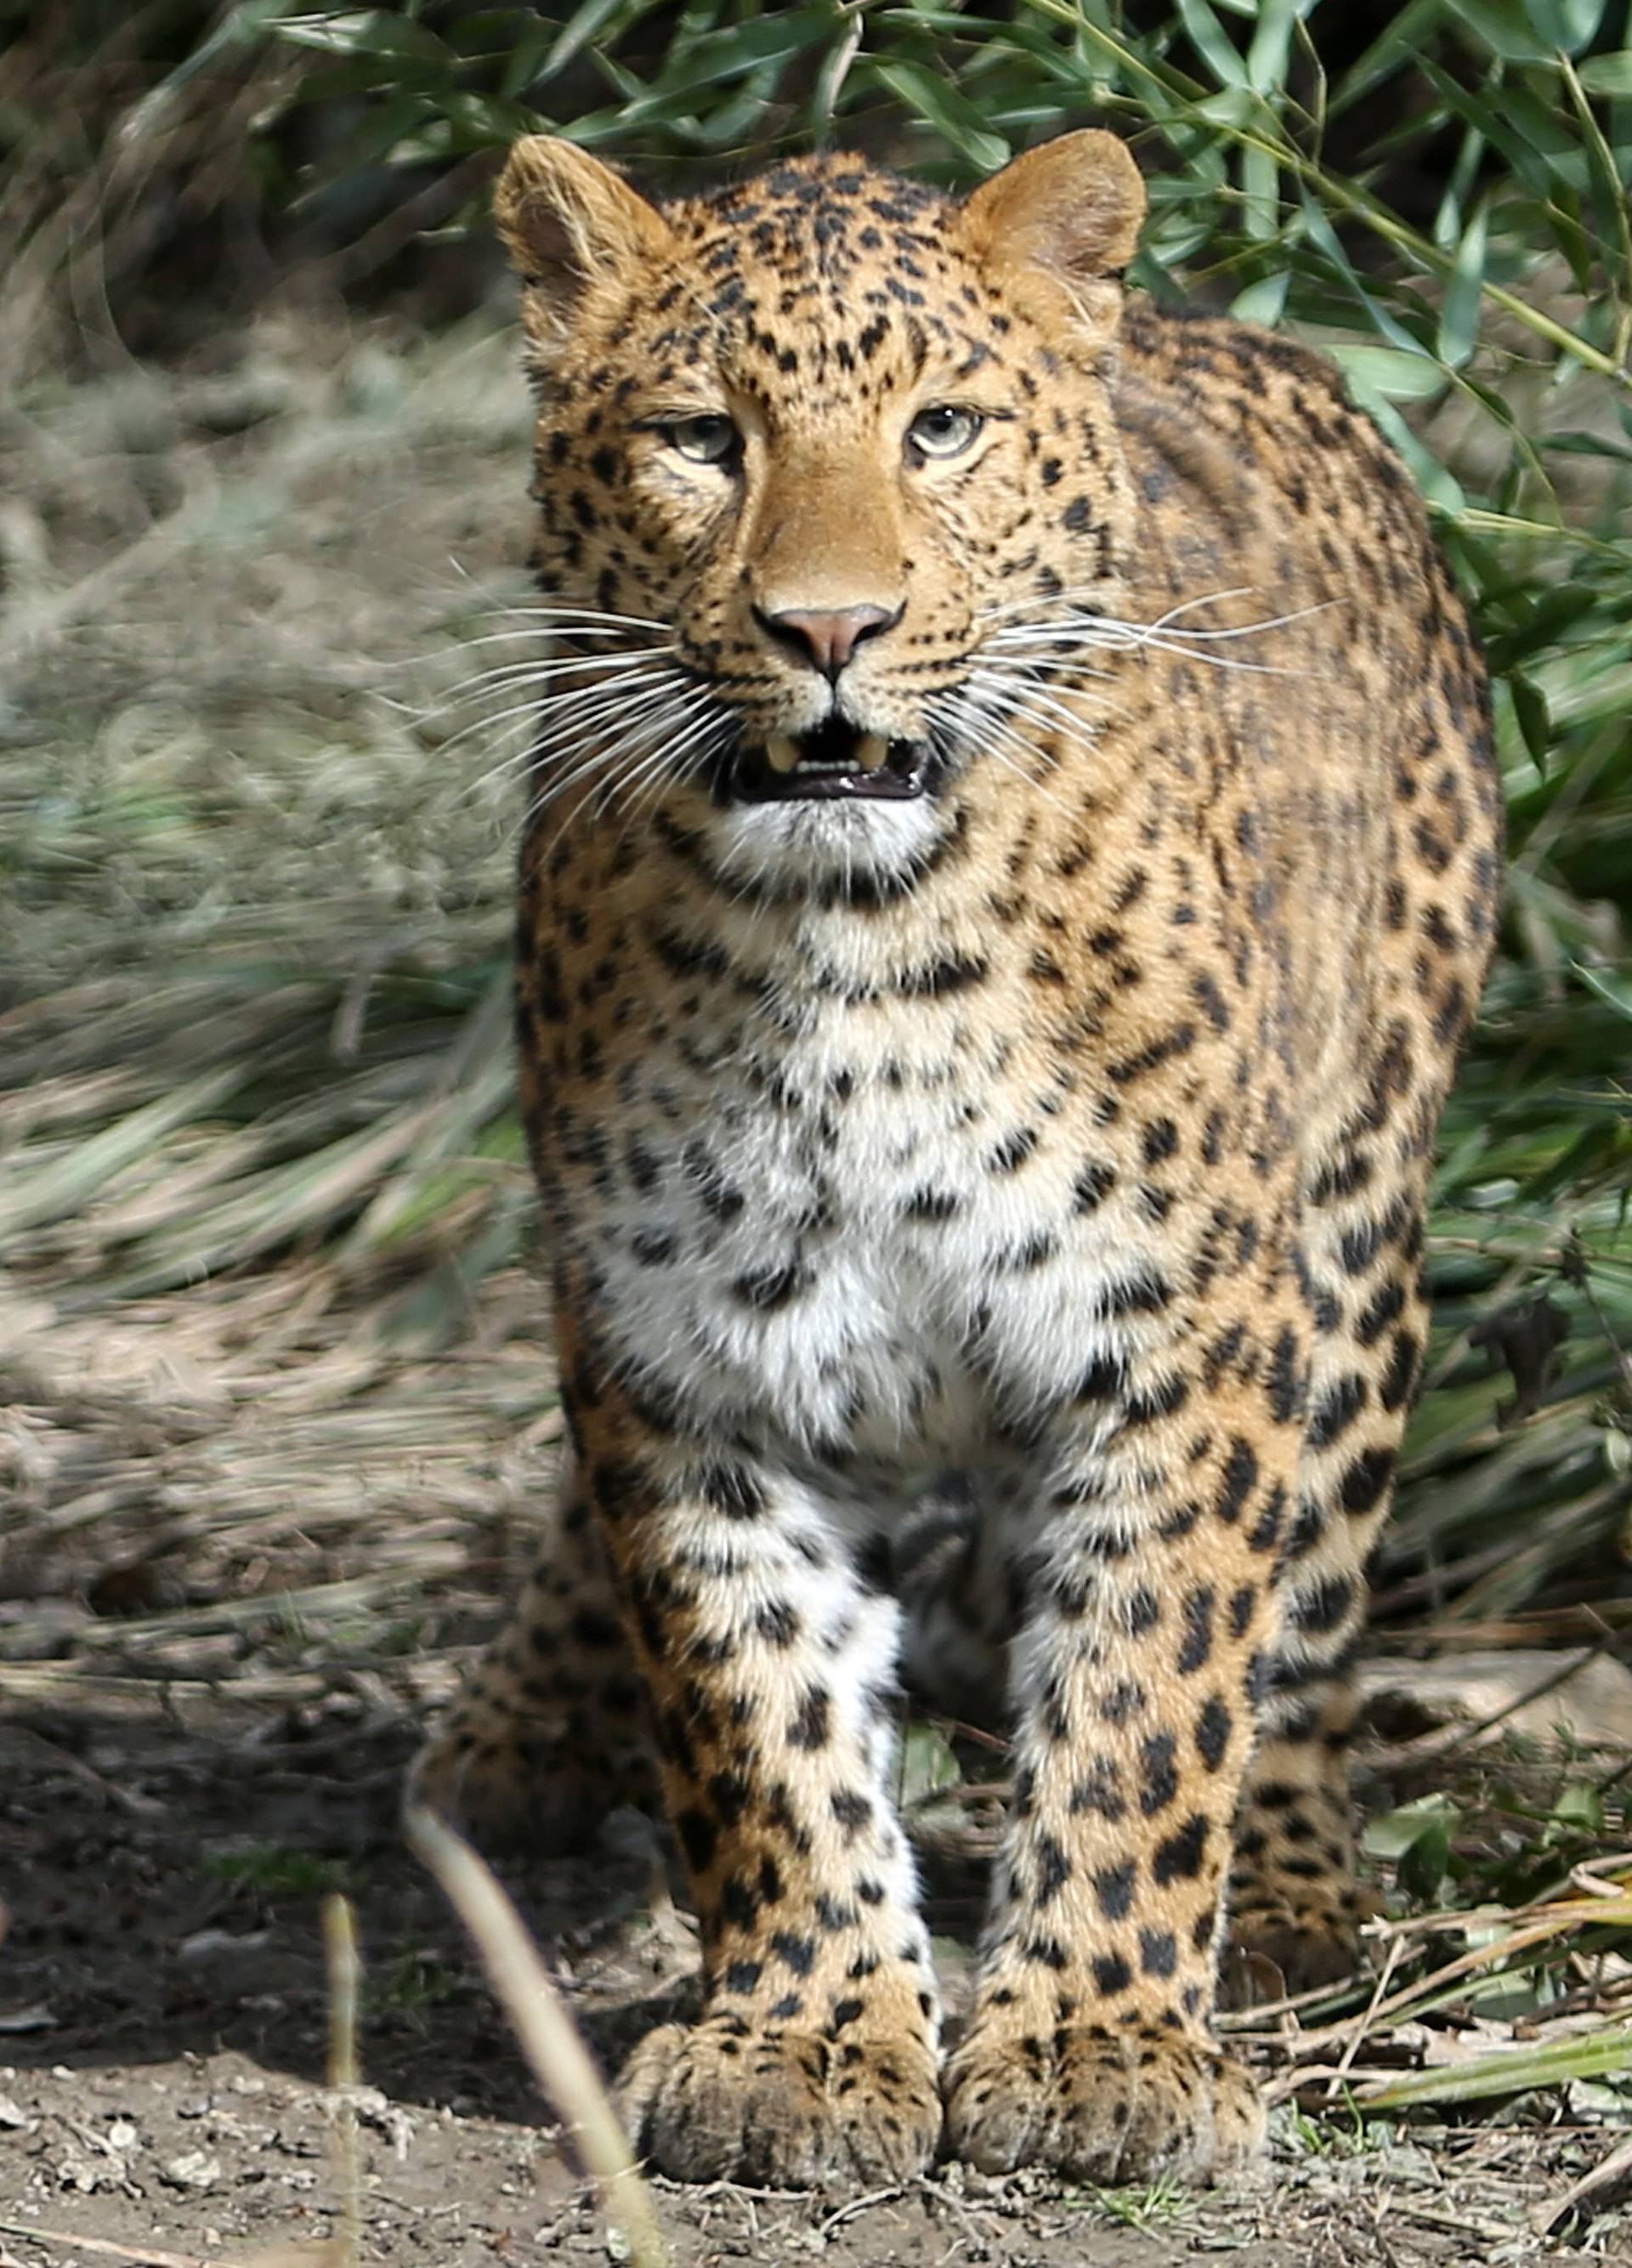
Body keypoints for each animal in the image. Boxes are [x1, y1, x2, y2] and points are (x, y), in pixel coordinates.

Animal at [410, 128, 1504, 2195]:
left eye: (943, 429)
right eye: (701, 438)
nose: (825, 629)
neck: (855, 945)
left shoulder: (1184, 1337)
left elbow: (1153, 1684)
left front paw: (1096, 2040)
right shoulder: (685, 1354)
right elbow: (753, 1705)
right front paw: (804, 2036)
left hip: (1356, 1231)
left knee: (1306, 1612)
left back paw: (1294, 1891)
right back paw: (511, 1741)